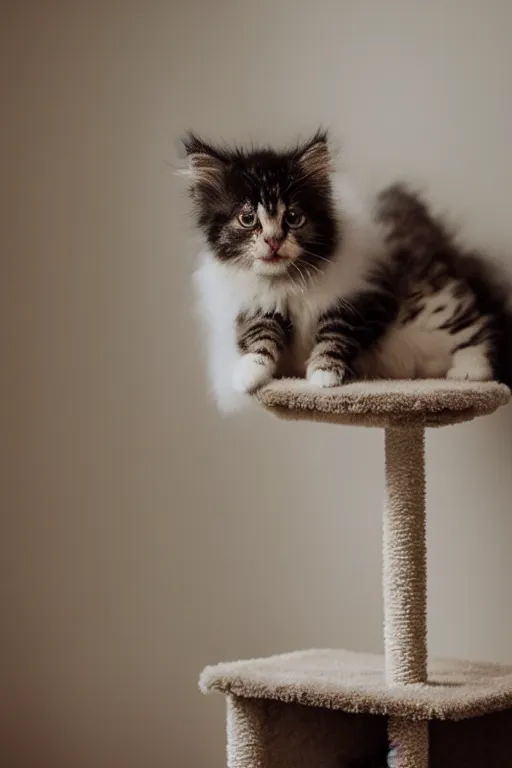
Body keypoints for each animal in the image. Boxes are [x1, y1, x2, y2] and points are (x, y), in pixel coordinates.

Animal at [184, 129, 512, 412]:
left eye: (293, 218)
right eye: (247, 218)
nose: (273, 241)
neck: (287, 281)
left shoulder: (364, 299)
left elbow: (335, 334)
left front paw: (323, 375)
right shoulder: (252, 304)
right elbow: (260, 335)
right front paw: (248, 374)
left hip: (433, 302)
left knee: (479, 322)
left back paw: (470, 371)